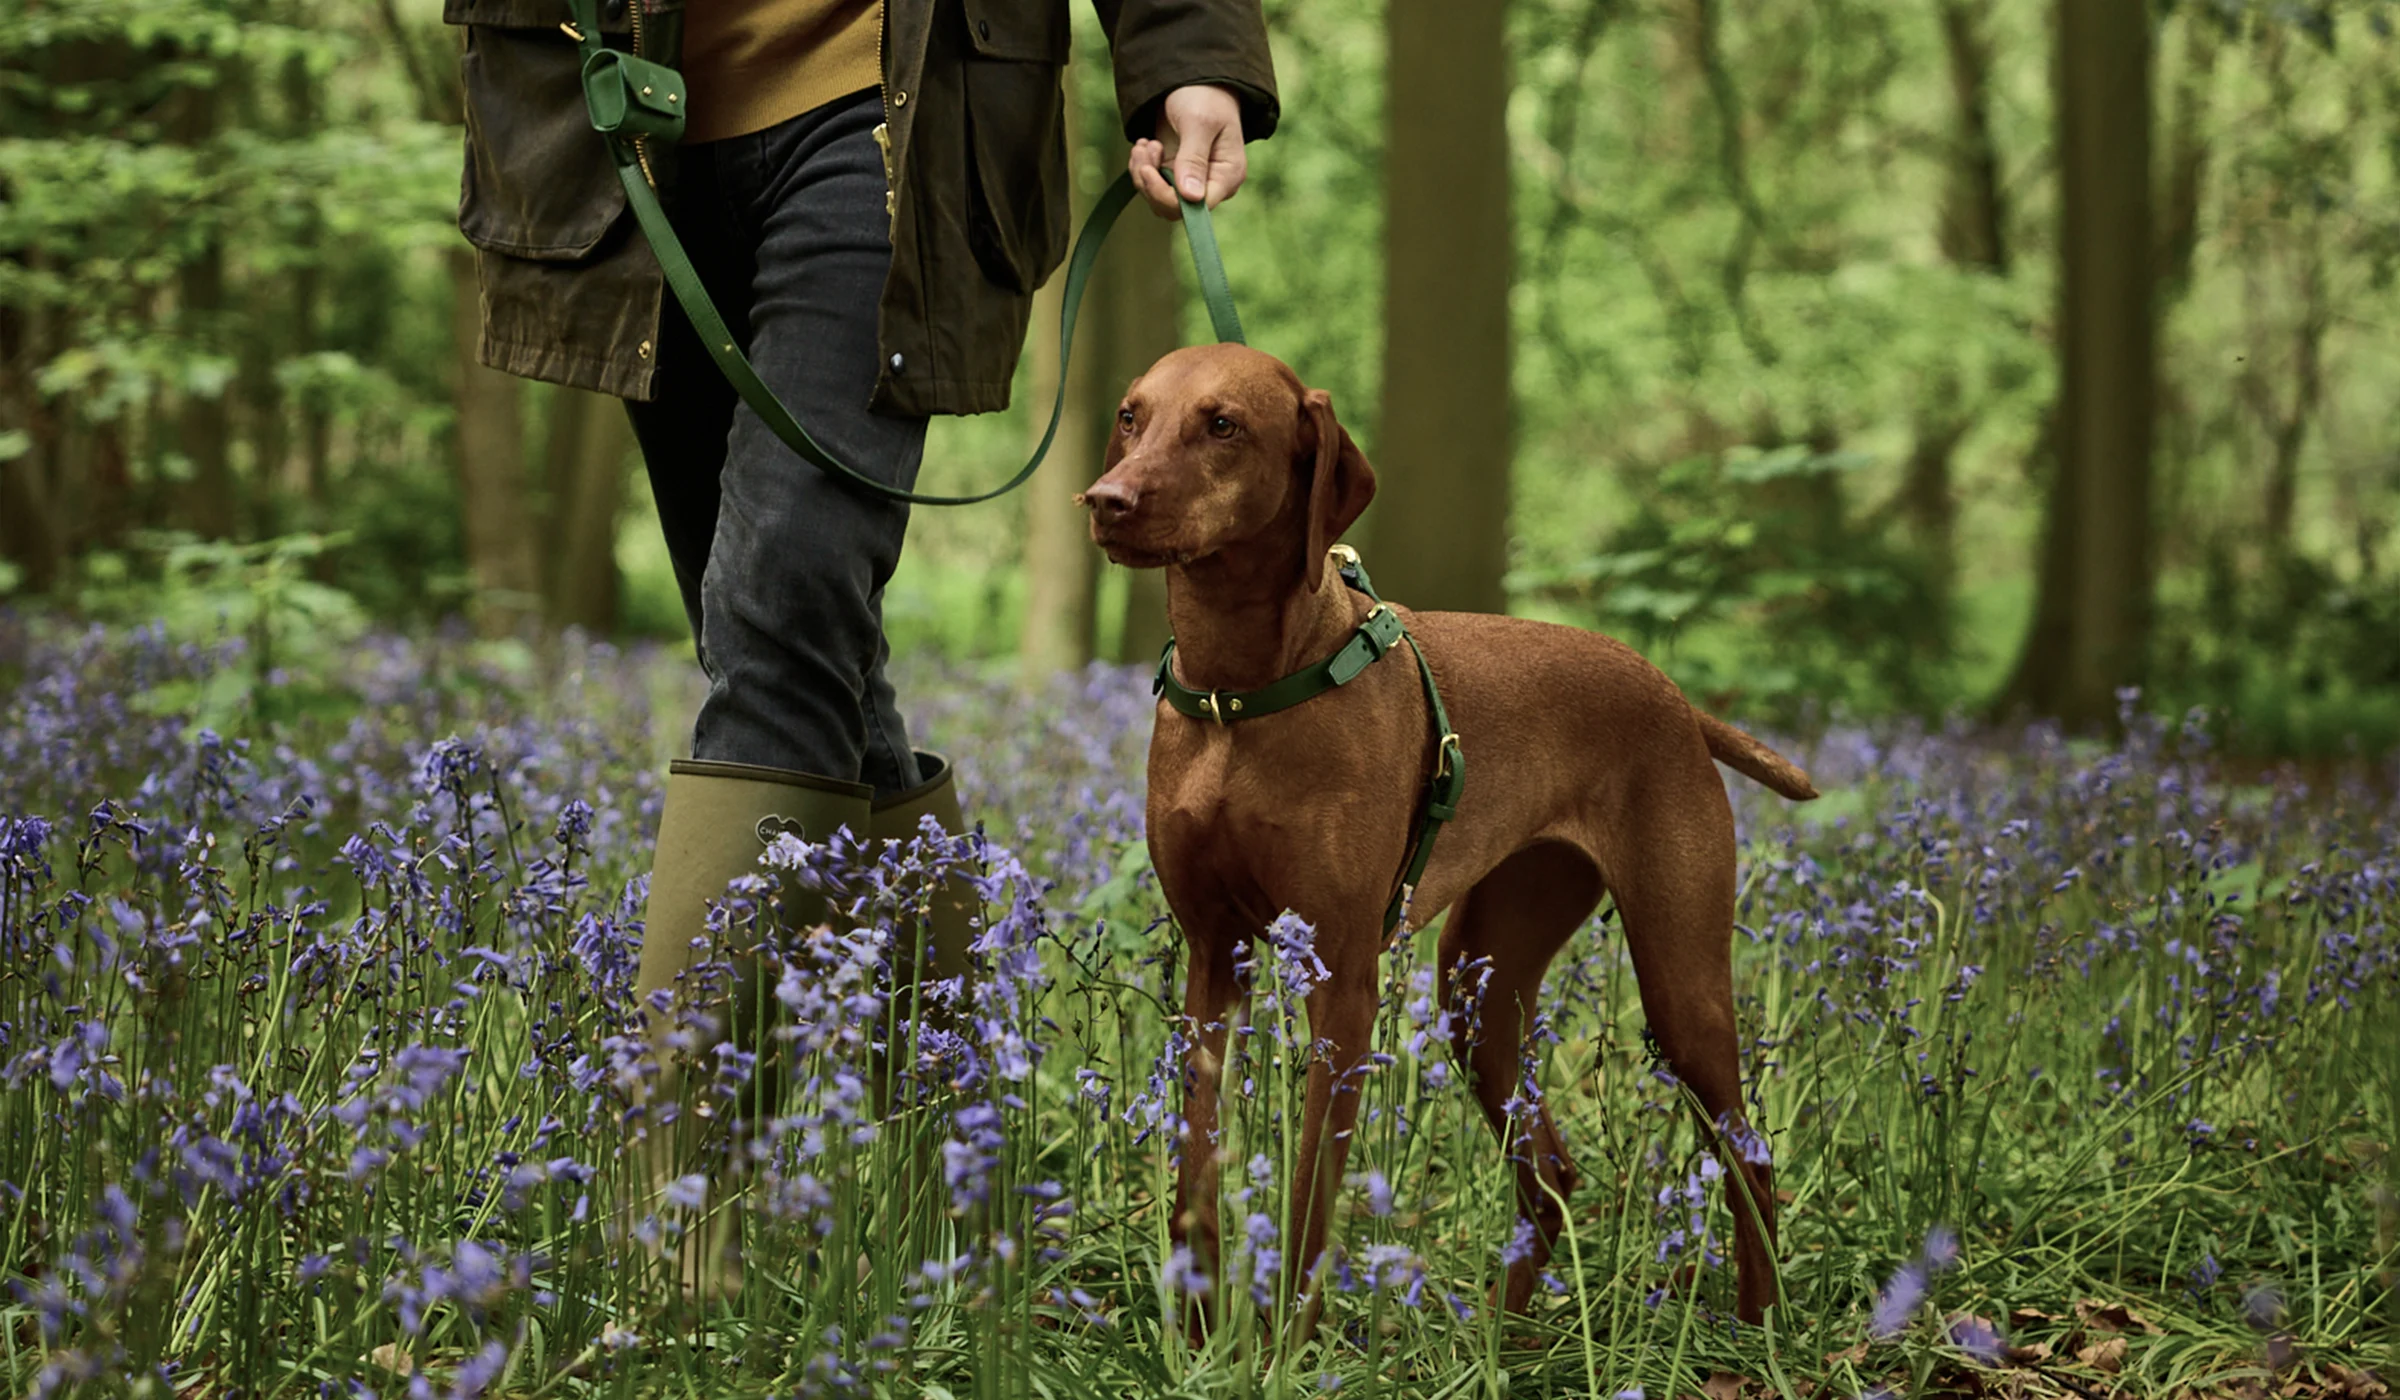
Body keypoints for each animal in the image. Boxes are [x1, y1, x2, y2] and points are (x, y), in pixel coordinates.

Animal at [1084, 338, 1814, 1325]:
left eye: (1224, 425)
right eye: (1131, 415)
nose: (1105, 500)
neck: (1241, 694)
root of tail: (1672, 697)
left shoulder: (1343, 982)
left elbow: (1311, 1196)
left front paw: (1286, 1342)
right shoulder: (1212, 958)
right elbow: (1194, 1173)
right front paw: (1196, 1333)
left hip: (1680, 985)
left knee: (1750, 1158)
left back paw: (1756, 1324)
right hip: (1480, 987)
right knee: (1552, 1175)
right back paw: (1505, 1335)